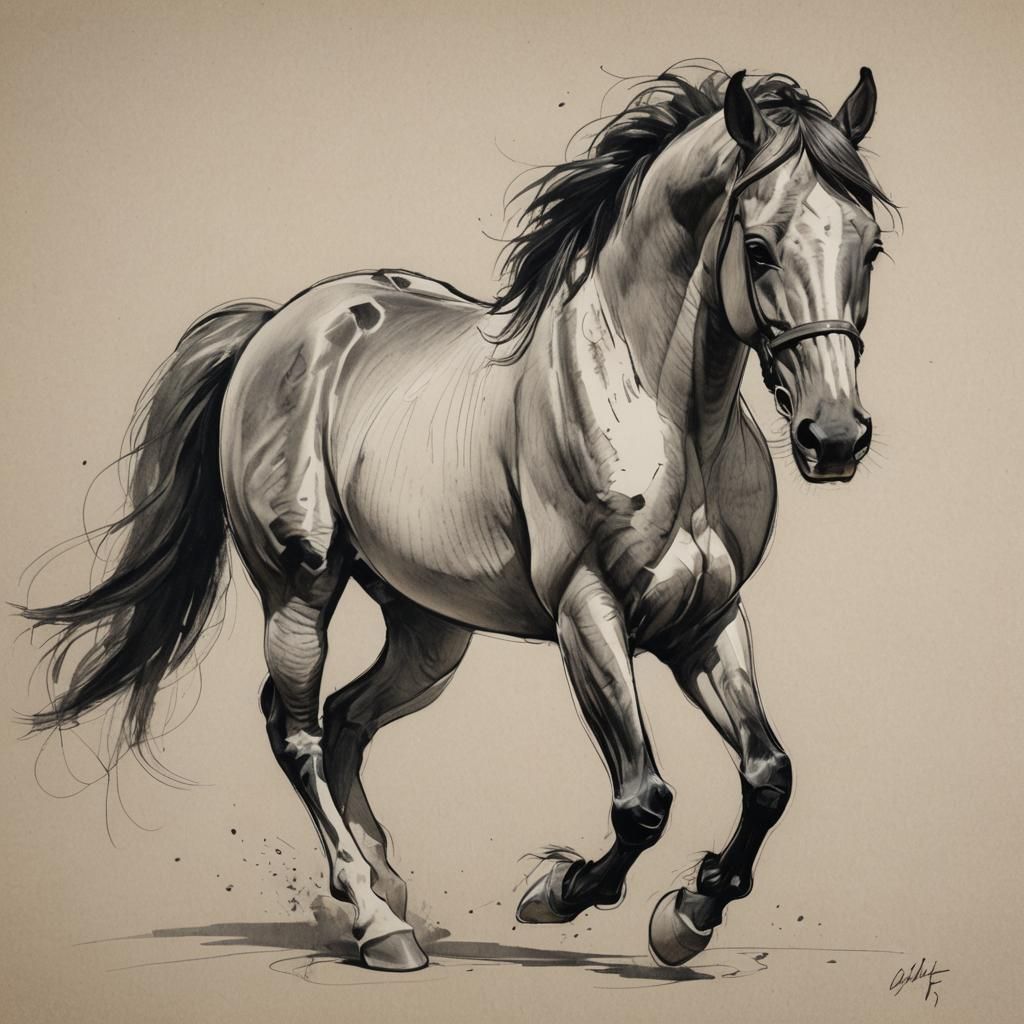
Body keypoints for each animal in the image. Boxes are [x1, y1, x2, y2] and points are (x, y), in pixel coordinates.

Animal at [22, 65, 893, 972]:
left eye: (871, 247)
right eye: (757, 248)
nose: (835, 437)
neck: (661, 410)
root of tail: (277, 327)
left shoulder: (708, 618)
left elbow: (769, 775)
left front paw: (691, 911)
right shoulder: (588, 613)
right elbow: (642, 800)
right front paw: (559, 893)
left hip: (431, 628)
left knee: (346, 720)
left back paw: (382, 885)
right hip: (300, 588)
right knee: (296, 731)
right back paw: (379, 921)